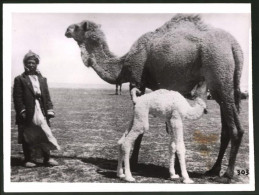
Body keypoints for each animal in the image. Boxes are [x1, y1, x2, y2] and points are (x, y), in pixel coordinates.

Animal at [66, 14, 245, 181]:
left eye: (77, 27)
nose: (67, 30)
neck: (124, 64)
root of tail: (234, 45)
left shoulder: (137, 80)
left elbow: (140, 128)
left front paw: (134, 161)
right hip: (228, 85)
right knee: (226, 129)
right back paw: (213, 170)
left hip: (219, 75)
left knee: (235, 129)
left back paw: (227, 174)